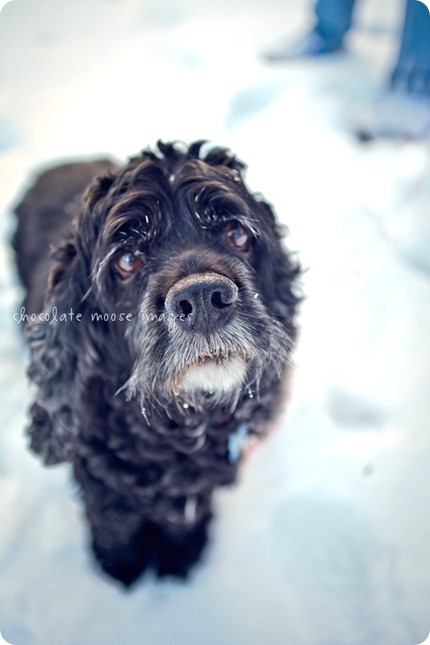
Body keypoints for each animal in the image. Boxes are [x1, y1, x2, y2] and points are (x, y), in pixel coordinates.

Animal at [14, 140, 302, 584]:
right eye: (126, 260)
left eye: (237, 234)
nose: (203, 298)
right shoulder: (97, 477)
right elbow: (114, 518)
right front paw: (119, 564)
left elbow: (184, 514)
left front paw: (181, 552)